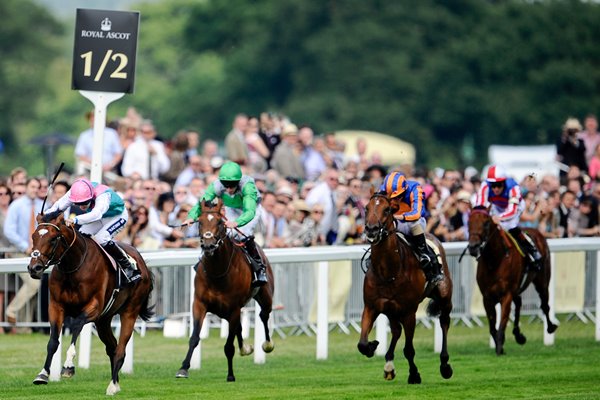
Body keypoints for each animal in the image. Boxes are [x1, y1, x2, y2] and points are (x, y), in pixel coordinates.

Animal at [28, 211, 155, 396]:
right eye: (33, 236)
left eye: (53, 238)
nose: (34, 268)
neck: (74, 267)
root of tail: (142, 263)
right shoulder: (56, 307)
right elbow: (52, 342)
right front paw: (42, 374)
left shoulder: (93, 308)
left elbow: (76, 325)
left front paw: (68, 366)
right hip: (103, 321)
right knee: (112, 348)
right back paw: (116, 383)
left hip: (130, 312)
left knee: (120, 350)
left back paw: (111, 386)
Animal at [175, 198, 276, 382]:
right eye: (200, 221)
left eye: (220, 223)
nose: (208, 245)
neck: (217, 272)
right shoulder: (199, 304)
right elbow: (194, 338)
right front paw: (183, 368)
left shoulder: (234, 308)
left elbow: (229, 346)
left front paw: (230, 375)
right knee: (239, 328)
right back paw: (245, 348)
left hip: (265, 297)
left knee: (263, 315)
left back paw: (267, 345)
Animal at [358, 192, 452, 386]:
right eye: (366, 208)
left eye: (387, 209)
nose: (371, 230)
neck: (388, 270)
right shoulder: (371, 306)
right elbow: (362, 344)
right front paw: (372, 346)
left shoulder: (409, 312)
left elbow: (409, 349)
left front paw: (414, 375)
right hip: (391, 310)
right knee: (396, 331)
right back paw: (388, 365)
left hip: (445, 296)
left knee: (444, 321)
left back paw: (445, 365)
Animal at [468, 206, 556, 356]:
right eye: (469, 222)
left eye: (486, 223)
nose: (473, 247)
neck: (495, 260)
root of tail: (537, 231)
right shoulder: (487, 297)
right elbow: (492, 326)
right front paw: (500, 345)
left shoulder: (506, 295)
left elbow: (502, 323)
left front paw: (499, 347)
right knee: (519, 303)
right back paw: (519, 335)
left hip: (542, 281)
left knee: (545, 305)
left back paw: (550, 327)